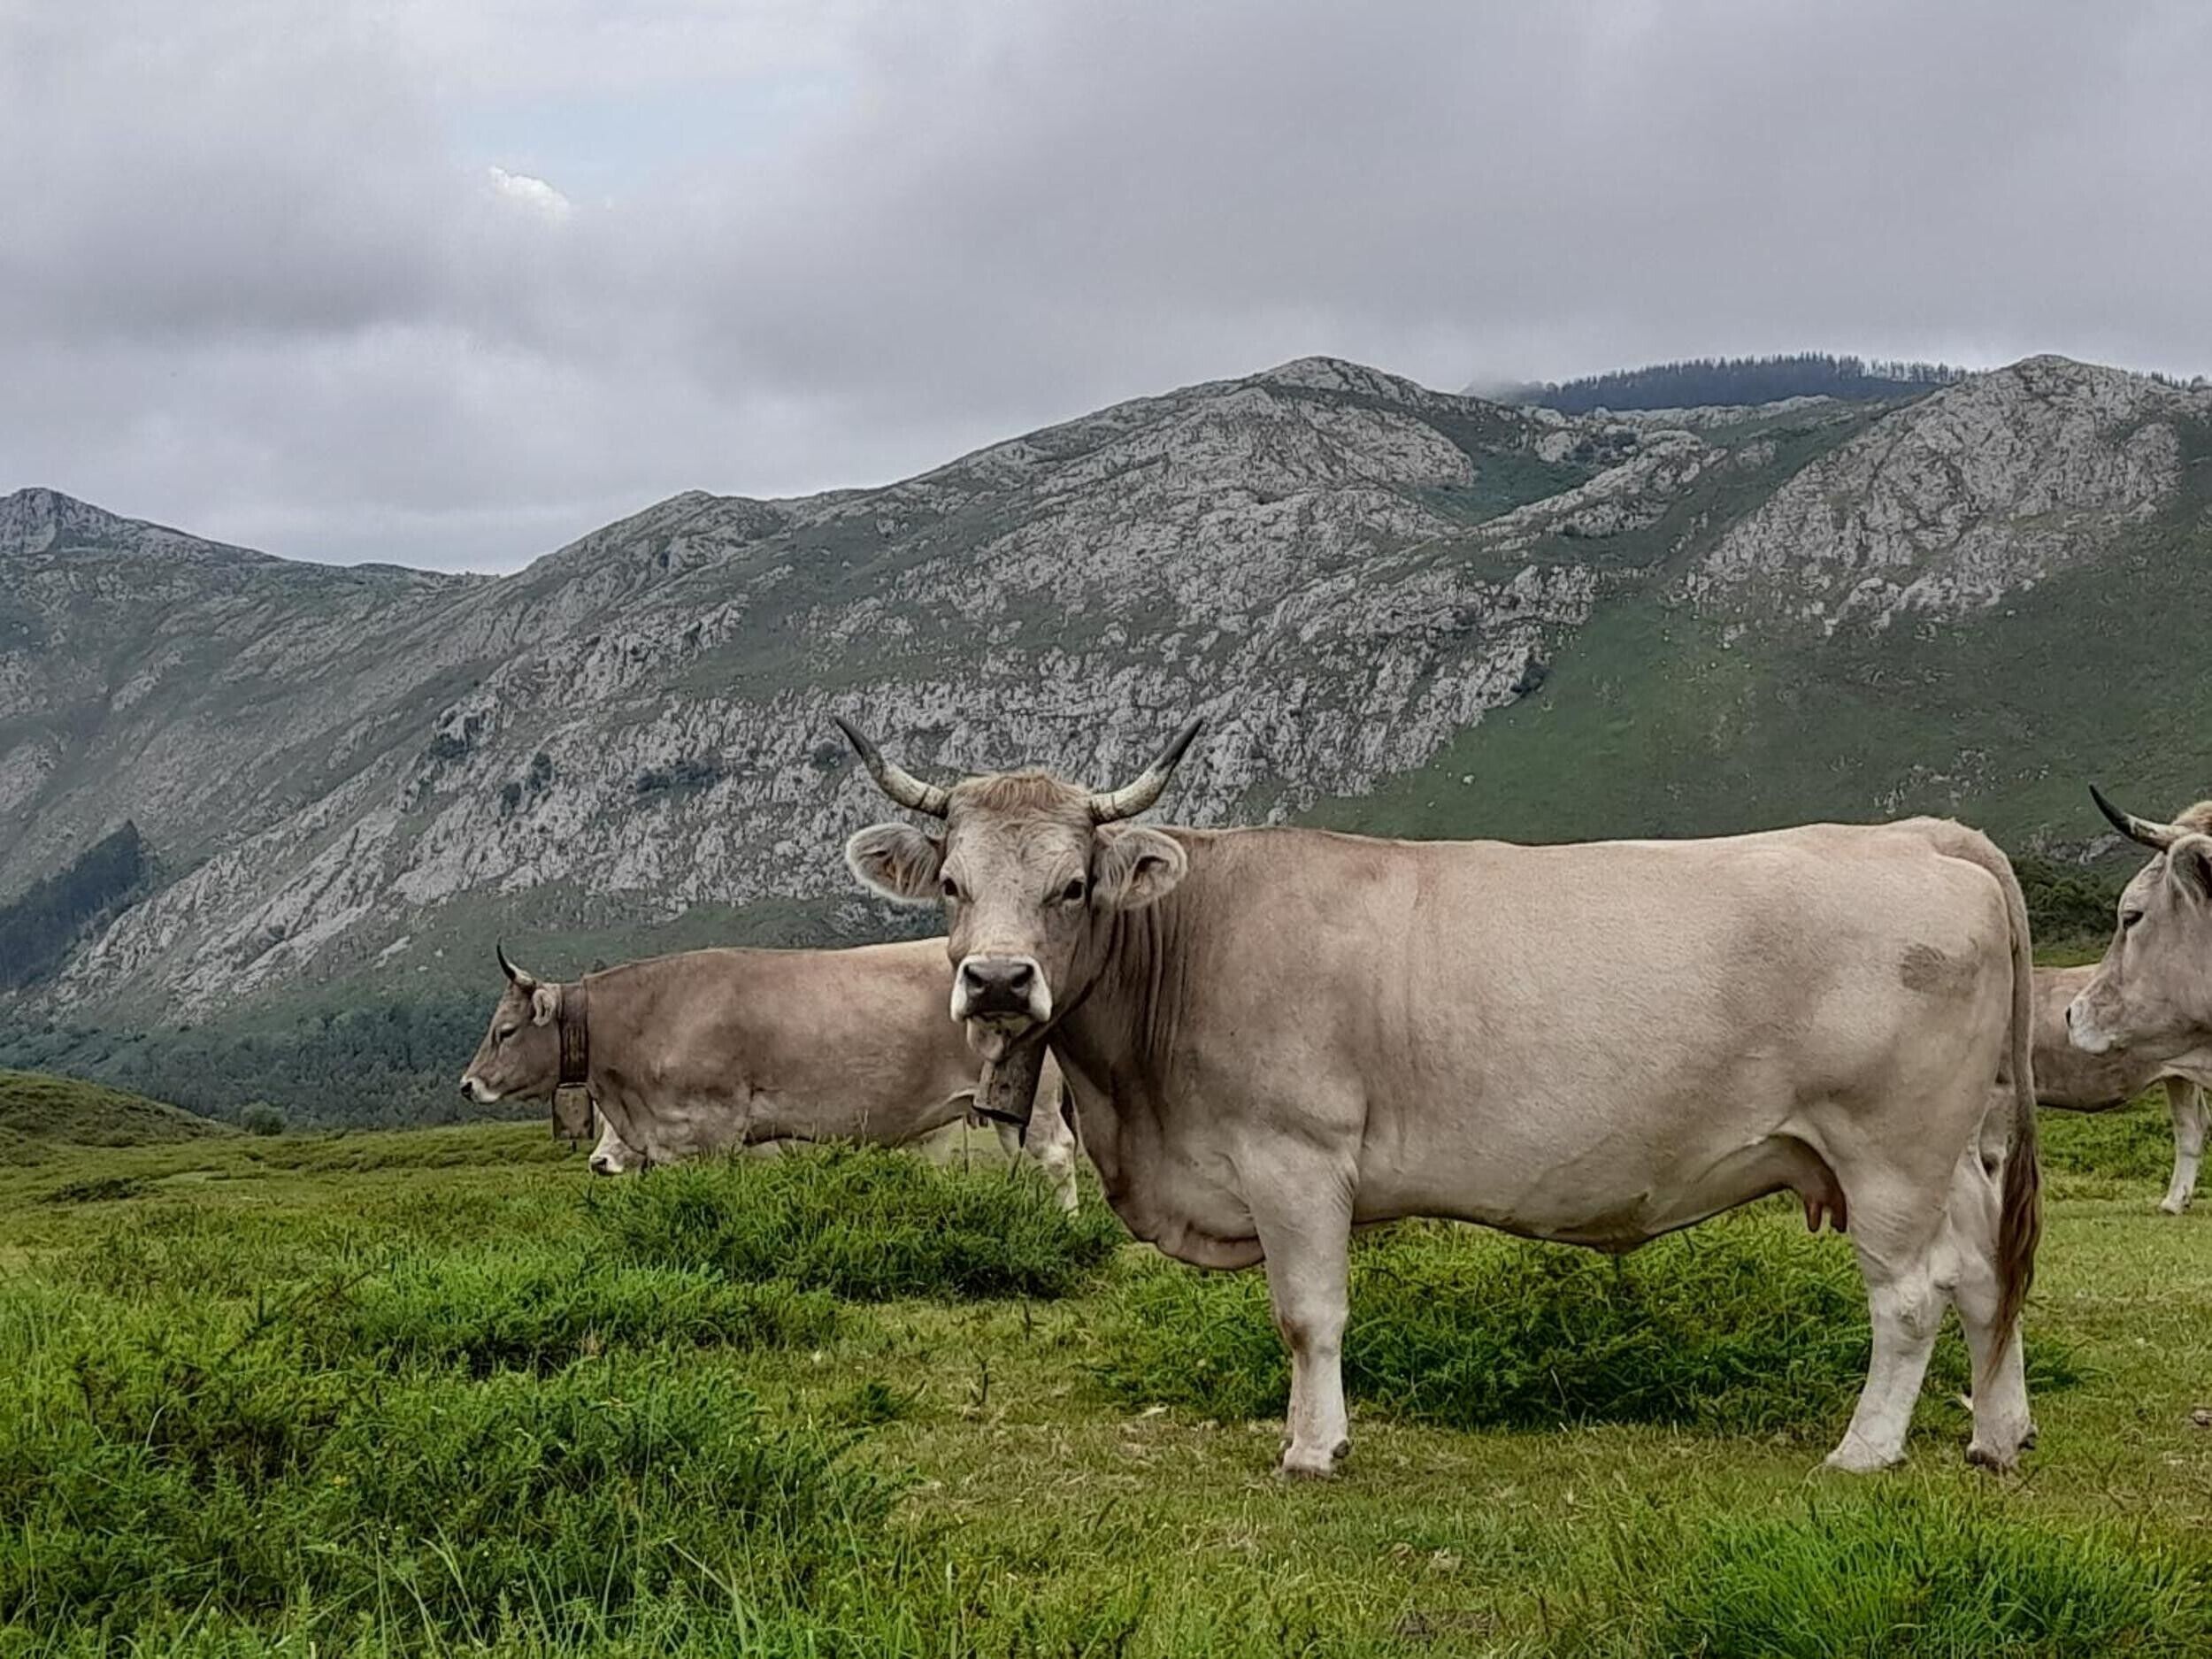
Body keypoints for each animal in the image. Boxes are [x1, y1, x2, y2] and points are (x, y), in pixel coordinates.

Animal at [458, 940, 1079, 1210]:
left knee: (1055, 1156)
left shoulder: (709, 1131)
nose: (468, 1084)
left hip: (1034, 1101)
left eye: (505, 1030)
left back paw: (1064, 1225)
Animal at [832, 717, 2040, 1477]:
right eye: (953, 884)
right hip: (1953, 1151)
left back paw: (1865, 1450)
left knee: (1912, 1296)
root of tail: (1918, 836)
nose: (997, 981)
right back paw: (1996, 1435)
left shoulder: (1295, 1158)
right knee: (1989, 1276)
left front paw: (1313, 1448)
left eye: (1073, 884)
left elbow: (1307, 1313)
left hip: (1887, 1151)